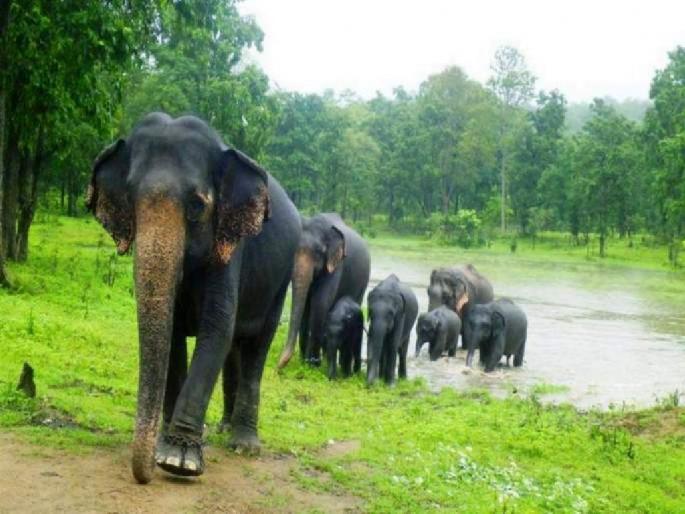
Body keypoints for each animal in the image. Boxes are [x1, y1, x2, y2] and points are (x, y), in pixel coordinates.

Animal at [87, 113, 301, 483]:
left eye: (198, 205)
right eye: (130, 200)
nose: (143, 476)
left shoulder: (229, 248)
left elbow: (215, 330)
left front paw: (177, 460)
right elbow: (173, 335)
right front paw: (164, 448)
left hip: (280, 282)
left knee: (256, 347)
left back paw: (244, 445)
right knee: (236, 349)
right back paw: (224, 429)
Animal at [277, 213, 370, 369]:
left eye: (318, 253)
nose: (278, 368)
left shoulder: (336, 264)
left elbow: (320, 303)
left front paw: (312, 365)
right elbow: (306, 307)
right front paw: (303, 362)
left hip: (363, 281)